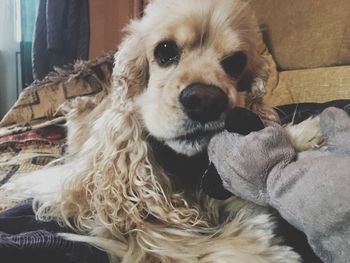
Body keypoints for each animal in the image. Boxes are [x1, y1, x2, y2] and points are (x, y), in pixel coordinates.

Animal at [0, 0, 322, 262]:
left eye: (235, 62)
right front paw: (254, 248)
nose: (205, 101)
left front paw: (306, 134)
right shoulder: (79, 191)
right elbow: (154, 234)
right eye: (165, 51)